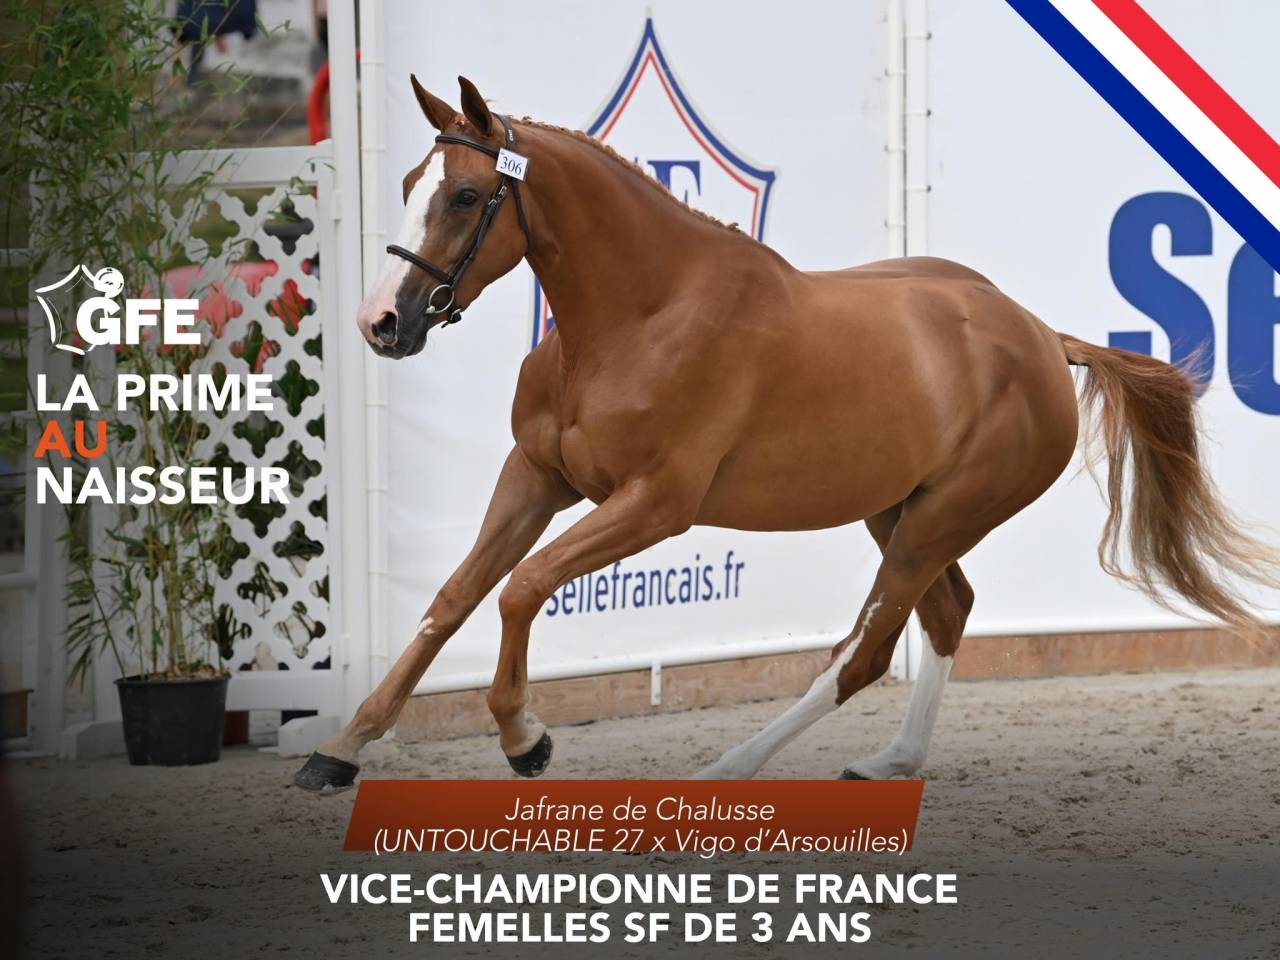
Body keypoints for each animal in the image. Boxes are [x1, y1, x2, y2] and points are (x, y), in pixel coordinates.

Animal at [293, 75, 1278, 791]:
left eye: (466, 196)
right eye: (411, 186)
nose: (382, 323)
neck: (633, 318)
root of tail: (1043, 337)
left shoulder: (653, 505)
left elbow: (521, 590)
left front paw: (525, 738)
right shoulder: (534, 476)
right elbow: (452, 599)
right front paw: (340, 750)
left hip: (937, 521)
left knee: (863, 651)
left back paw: (725, 772)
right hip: (898, 511)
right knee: (946, 614)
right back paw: (892, 762)